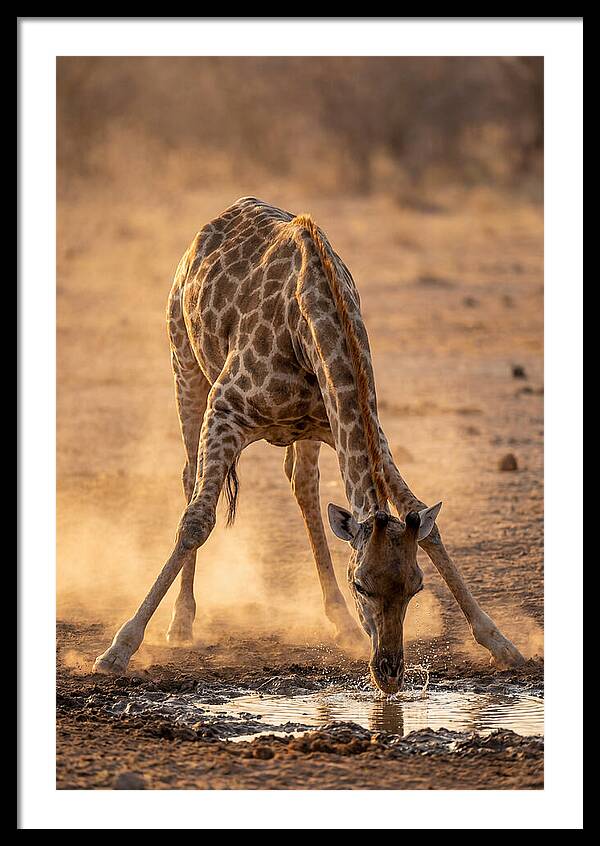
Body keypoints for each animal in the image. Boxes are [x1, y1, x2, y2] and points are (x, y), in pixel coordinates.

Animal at [93, 197, 525, 689]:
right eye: (362, 584)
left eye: (415, 586)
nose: (389, 673)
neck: (312, 322)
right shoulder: (225, 410)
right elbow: (197, 522)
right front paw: (119, 648)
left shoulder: (358, 425)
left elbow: (425, 524)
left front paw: (501, 642)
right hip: (184, 364)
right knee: (190, 480)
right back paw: (181, 623)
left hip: (305, 431)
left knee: (303, 484)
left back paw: (340, 623)